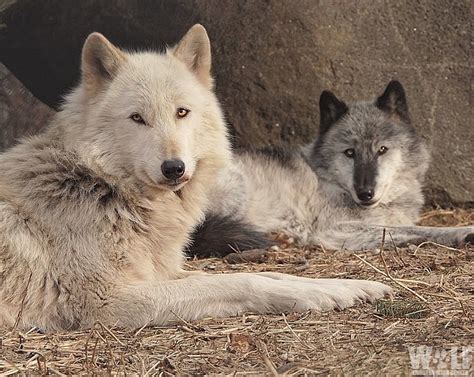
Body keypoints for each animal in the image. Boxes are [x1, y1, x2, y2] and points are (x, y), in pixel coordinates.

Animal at [0, 25, 392, 328]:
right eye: (138, 118)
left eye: (181, 112)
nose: (174, 168)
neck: (104, 187)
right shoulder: (110, 301)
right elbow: (244, 283)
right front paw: (320, 296)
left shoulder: (162, 274)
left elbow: (265, 274)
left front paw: (346, 285)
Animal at [187, 79, 472, 256]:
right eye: (350, 153)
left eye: (382, 150)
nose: (365, 193)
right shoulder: (335, 229)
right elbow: (417, 230)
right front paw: (465, 232)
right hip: (239, 186)